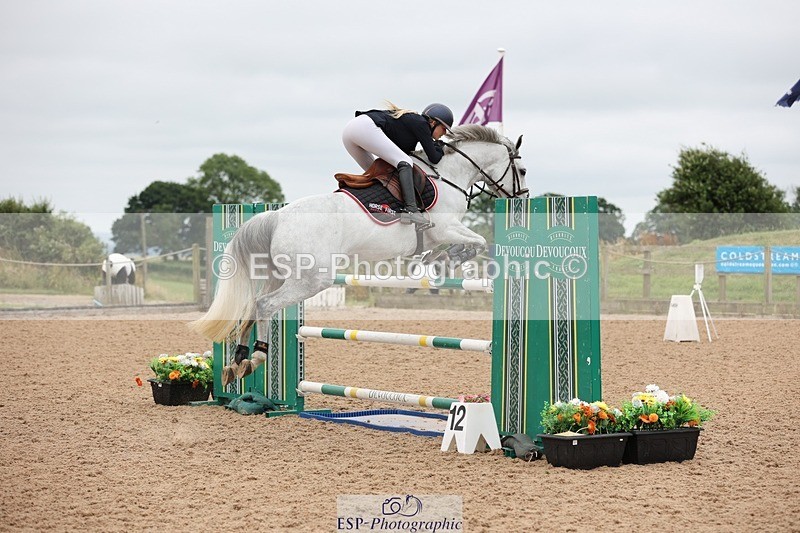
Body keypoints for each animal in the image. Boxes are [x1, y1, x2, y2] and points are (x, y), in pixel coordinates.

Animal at [188, 124, 529, 382]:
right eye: (522, 170)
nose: (522, 197)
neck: (449, 177)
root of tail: (276, 217)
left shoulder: (438, 235)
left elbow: (462, 246)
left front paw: (439, 260)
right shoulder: (445, 228)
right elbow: (478, 241)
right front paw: (450, 259)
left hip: (277, 274)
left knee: (250, 307)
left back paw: (237, 362)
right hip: (312, 279)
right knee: (264, 305)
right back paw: (257, 357)